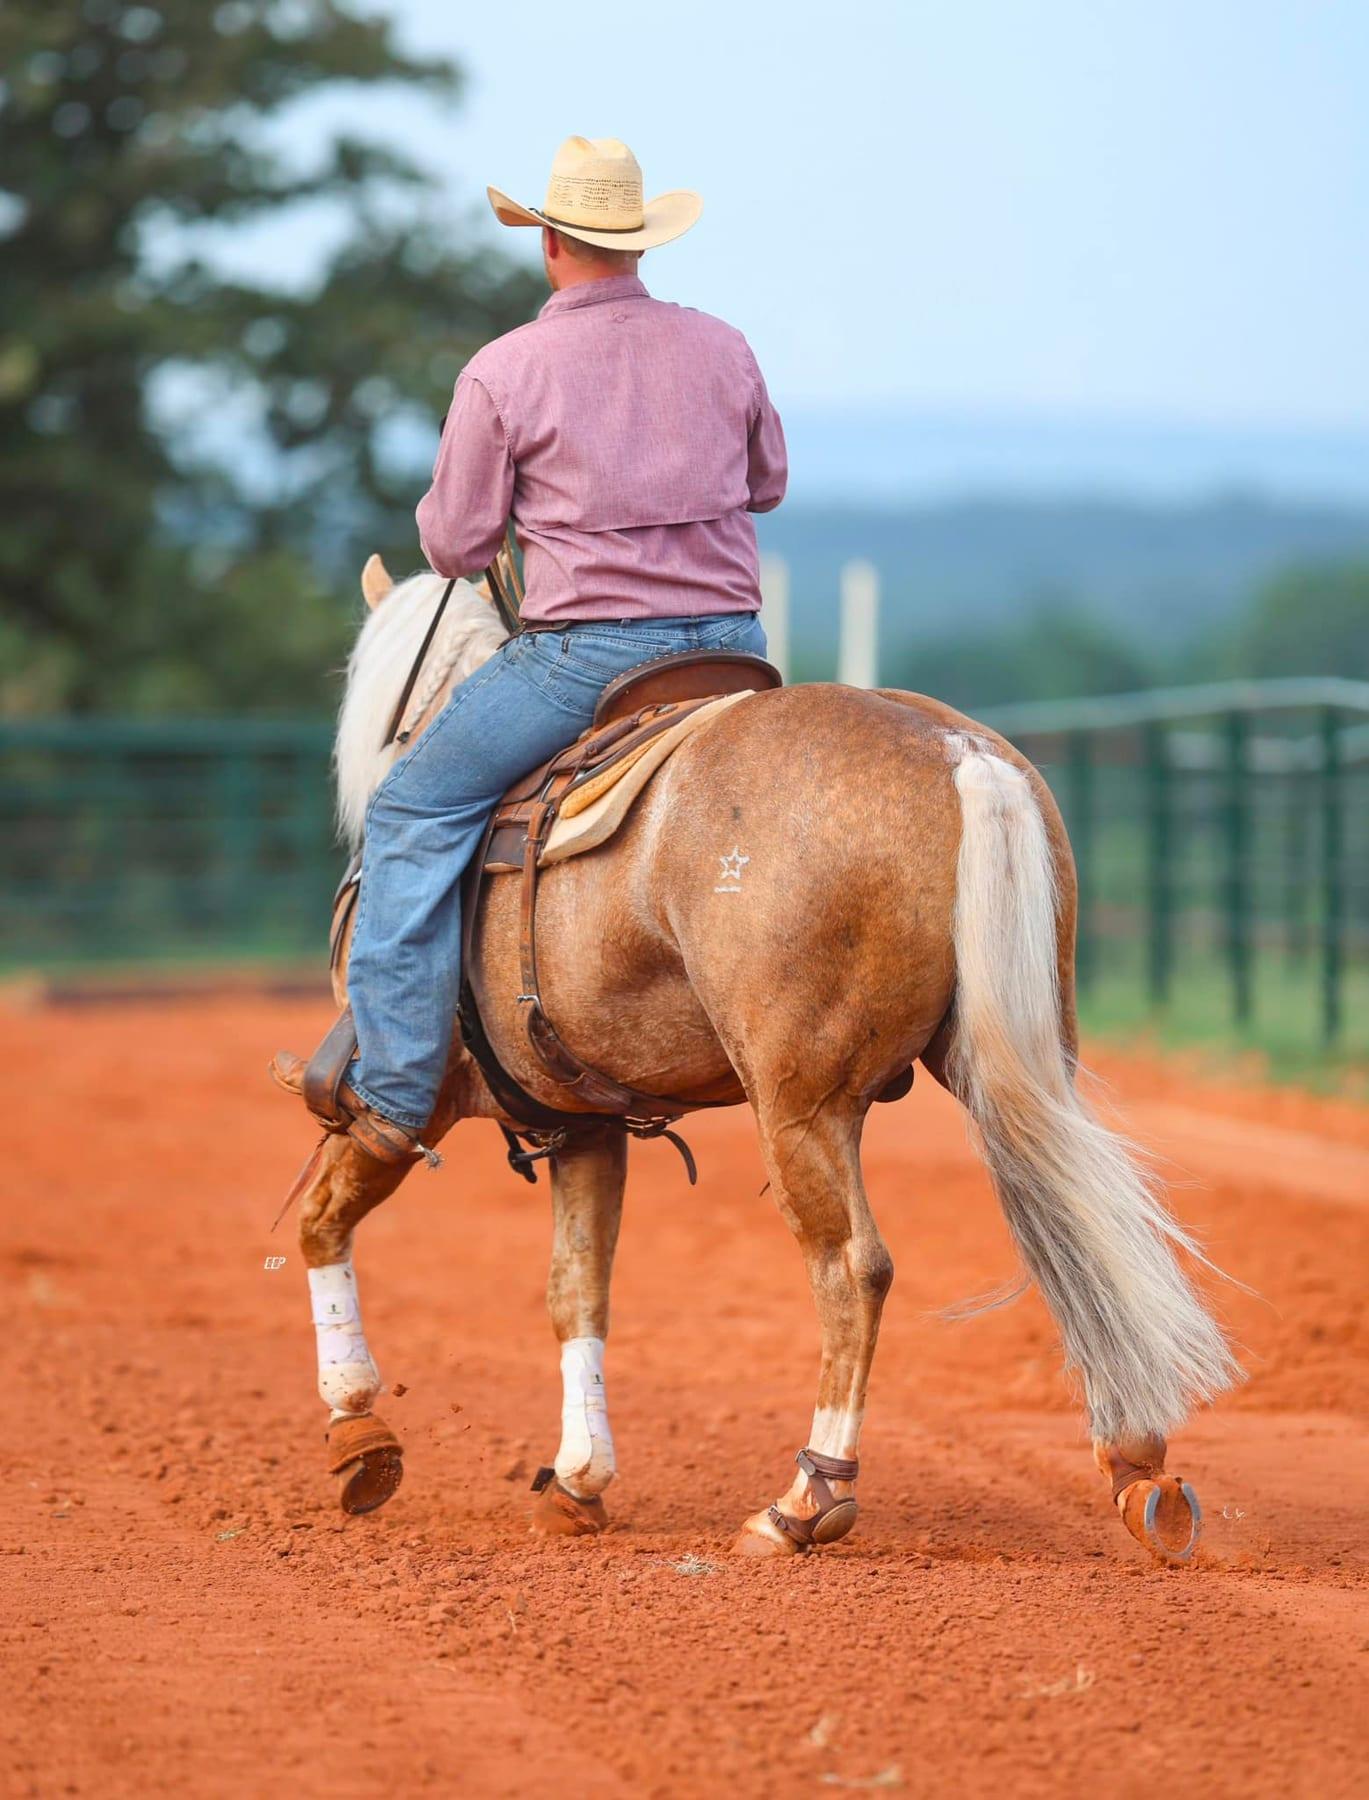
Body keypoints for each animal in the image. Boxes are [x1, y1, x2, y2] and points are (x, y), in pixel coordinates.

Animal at [280, 554, 1237, 1561]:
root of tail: (953, 753)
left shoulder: (412, 1101)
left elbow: (321, 1220)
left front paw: (358, 1433)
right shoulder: (585, 1127)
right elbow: (577, 1292)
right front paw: (578, 1480)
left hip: (801, 1106)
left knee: (853, 1268)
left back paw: (805, 1501)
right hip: (1018, 1064)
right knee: (1078, 1233)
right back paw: (1138, 1470)